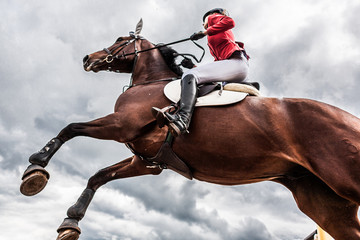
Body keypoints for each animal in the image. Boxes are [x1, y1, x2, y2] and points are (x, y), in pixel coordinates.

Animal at [21, 21, 360, 239]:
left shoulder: (121, 124)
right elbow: (98, 176)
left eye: (119, 39)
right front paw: (71, 221)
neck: (150, 81)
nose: (87, 59)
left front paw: (36, 167)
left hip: (343, 177)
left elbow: (71, 128)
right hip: (324, 203)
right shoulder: (145, 161)